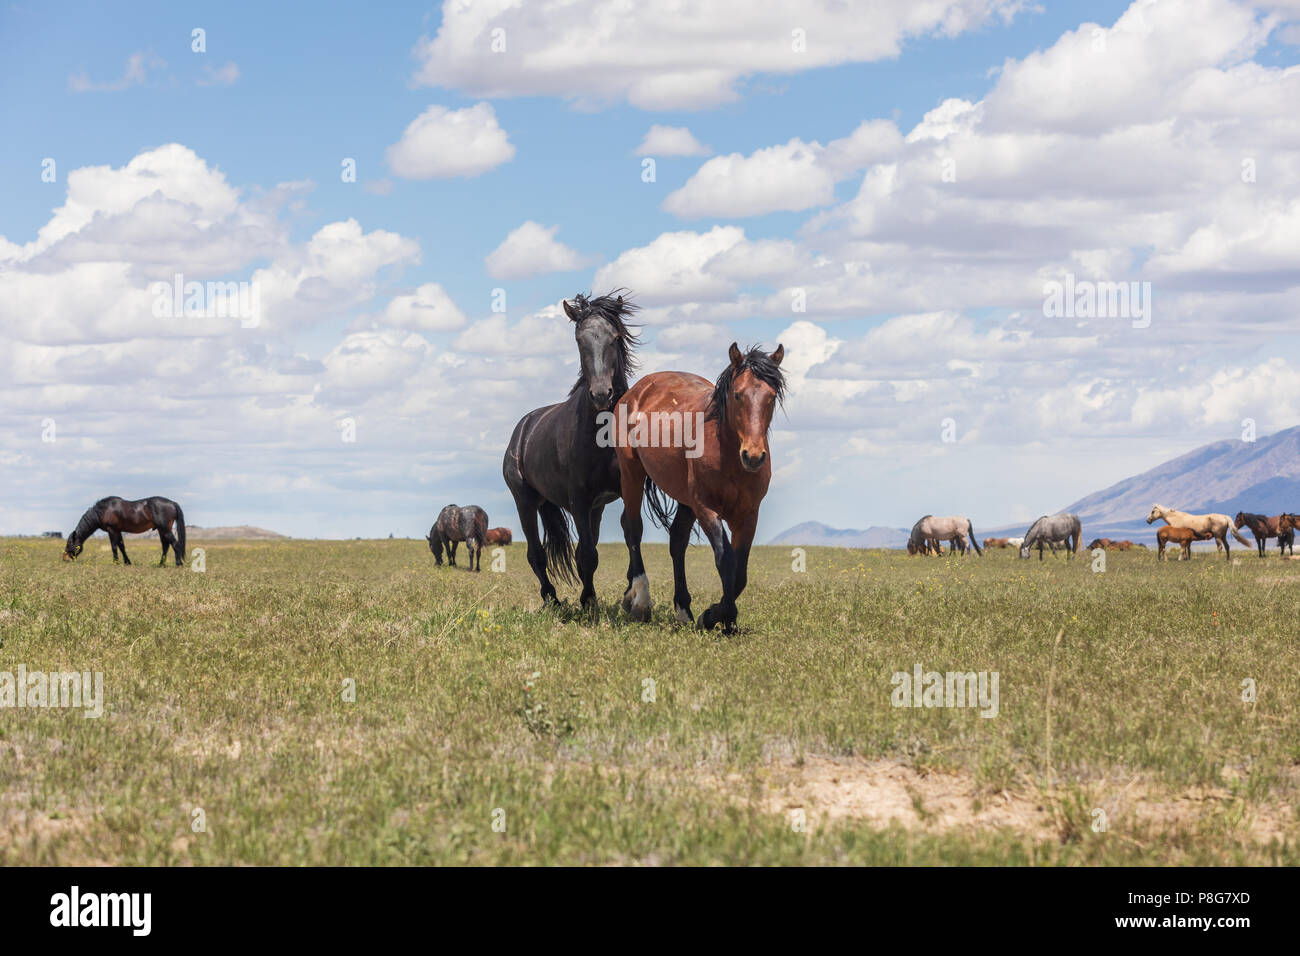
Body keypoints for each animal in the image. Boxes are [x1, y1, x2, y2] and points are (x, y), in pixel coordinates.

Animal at [503, 292, 640, 609]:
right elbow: (586, 555)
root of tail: (522, 429)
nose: (601, 394)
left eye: (615, 337)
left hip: (595, 508)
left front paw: (631, 594)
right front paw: (588, 600)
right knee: (536, 554)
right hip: (525, 501)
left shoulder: (620, 492)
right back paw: (552, 599)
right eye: (579, 340)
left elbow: (630, 537)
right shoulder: (579, 499)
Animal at [614, 343, 786, 633]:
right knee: (633, 528)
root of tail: (637, 391)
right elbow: (725, 561)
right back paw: (639, 601)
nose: (753, 456)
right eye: (737, 395)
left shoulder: (748, 515)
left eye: (771, 397)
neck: (727, 454)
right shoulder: (706, 508)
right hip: (631, 473)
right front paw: (713, 616)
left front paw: (725, 620)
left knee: (677, 541)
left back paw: (683, 610)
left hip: (685, 501)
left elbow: (739, 574)